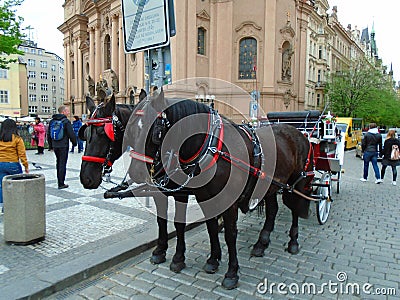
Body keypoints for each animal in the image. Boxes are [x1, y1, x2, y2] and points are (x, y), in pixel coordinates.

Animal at [79, 91, 312, 288]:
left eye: (103, 133)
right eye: (86, 133)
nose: (86, 178)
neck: (209, 147)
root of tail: (296, 131)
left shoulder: (213, 199)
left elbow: (227, 234)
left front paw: (230, 272)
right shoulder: (194, 195)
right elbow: (197, 226)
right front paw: (207, 259)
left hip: (295, 183)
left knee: (294, 209)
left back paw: (293, 242)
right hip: (270, 186)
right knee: (272, 210)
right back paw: (261, 244)